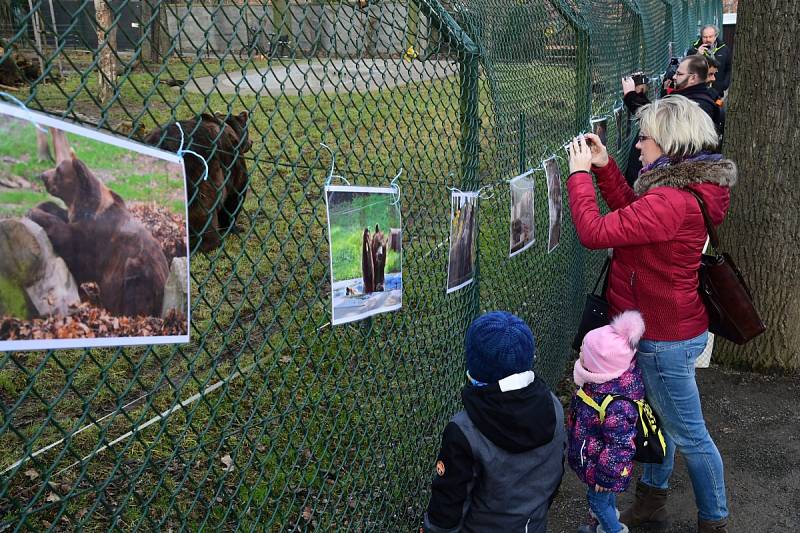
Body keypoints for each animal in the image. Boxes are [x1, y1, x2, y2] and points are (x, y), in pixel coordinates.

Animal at [28, 156, 170, 318]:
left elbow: (72, 245)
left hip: (141, 272)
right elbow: (61, 214)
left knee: (134, 290)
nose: (43, 175)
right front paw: (43, 205)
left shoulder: (96, 238)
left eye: (59, 170)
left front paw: (34, 212)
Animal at [143, 111, 250, 252]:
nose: (251, 142)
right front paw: (233, 227)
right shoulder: (232, 160)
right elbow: (235, 195)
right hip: (198, 175)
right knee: (204, 213)